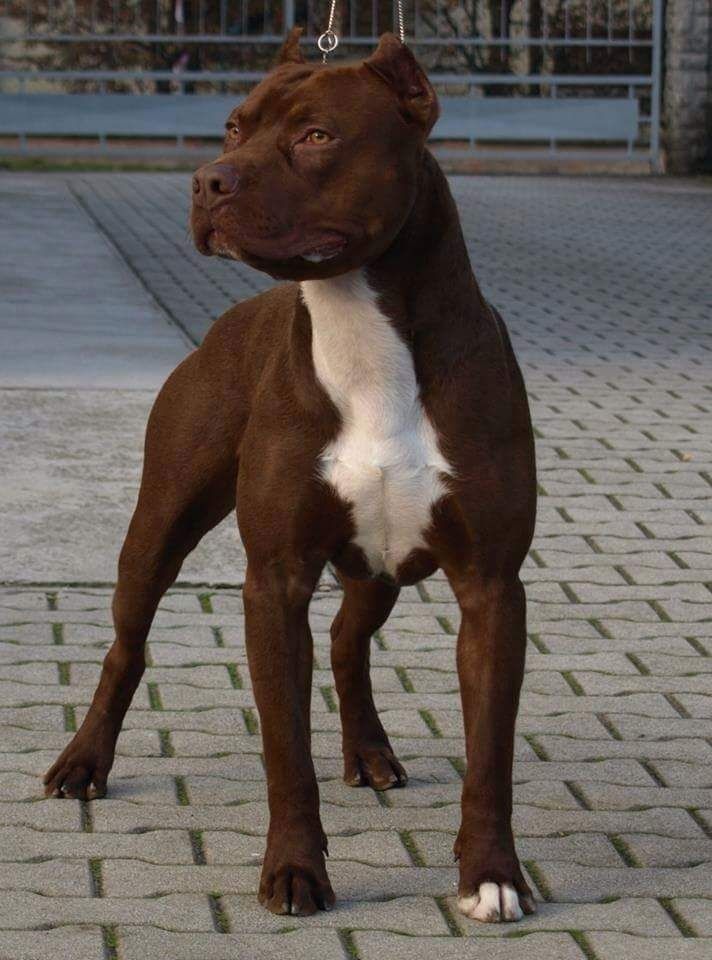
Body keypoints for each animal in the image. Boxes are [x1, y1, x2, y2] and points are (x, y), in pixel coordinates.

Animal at [43, 33, 536, 928]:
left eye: (316, 136)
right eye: (233, 127)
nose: (209, 179)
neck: (363, 334)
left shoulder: (490, 585)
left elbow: (491, 755)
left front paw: (492, 875)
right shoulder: (274, 581)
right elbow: (286, 753)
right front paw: (296, 871)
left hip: (376, 566)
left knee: (346, 639)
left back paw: (370, 752)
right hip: (158, 528)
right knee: (126, 646)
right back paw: (83, 762)